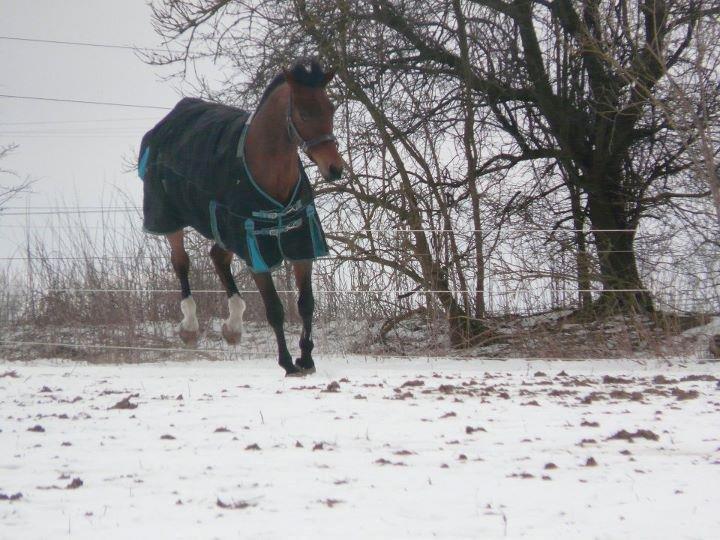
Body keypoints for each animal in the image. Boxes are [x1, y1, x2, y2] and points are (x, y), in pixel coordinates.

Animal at [141, 59, 346, 376]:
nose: (335, 168)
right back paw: (190, 327)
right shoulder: (255, 249)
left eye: (331, 108)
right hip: (168, 216)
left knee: (218, 257)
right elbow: (274, 309)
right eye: (303, 112)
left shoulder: (301, 242)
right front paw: (287, 363)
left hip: (223, 229)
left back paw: (233, 327)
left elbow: (306, 304)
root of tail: (170, 119)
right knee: (181, 262)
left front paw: (306, 359)